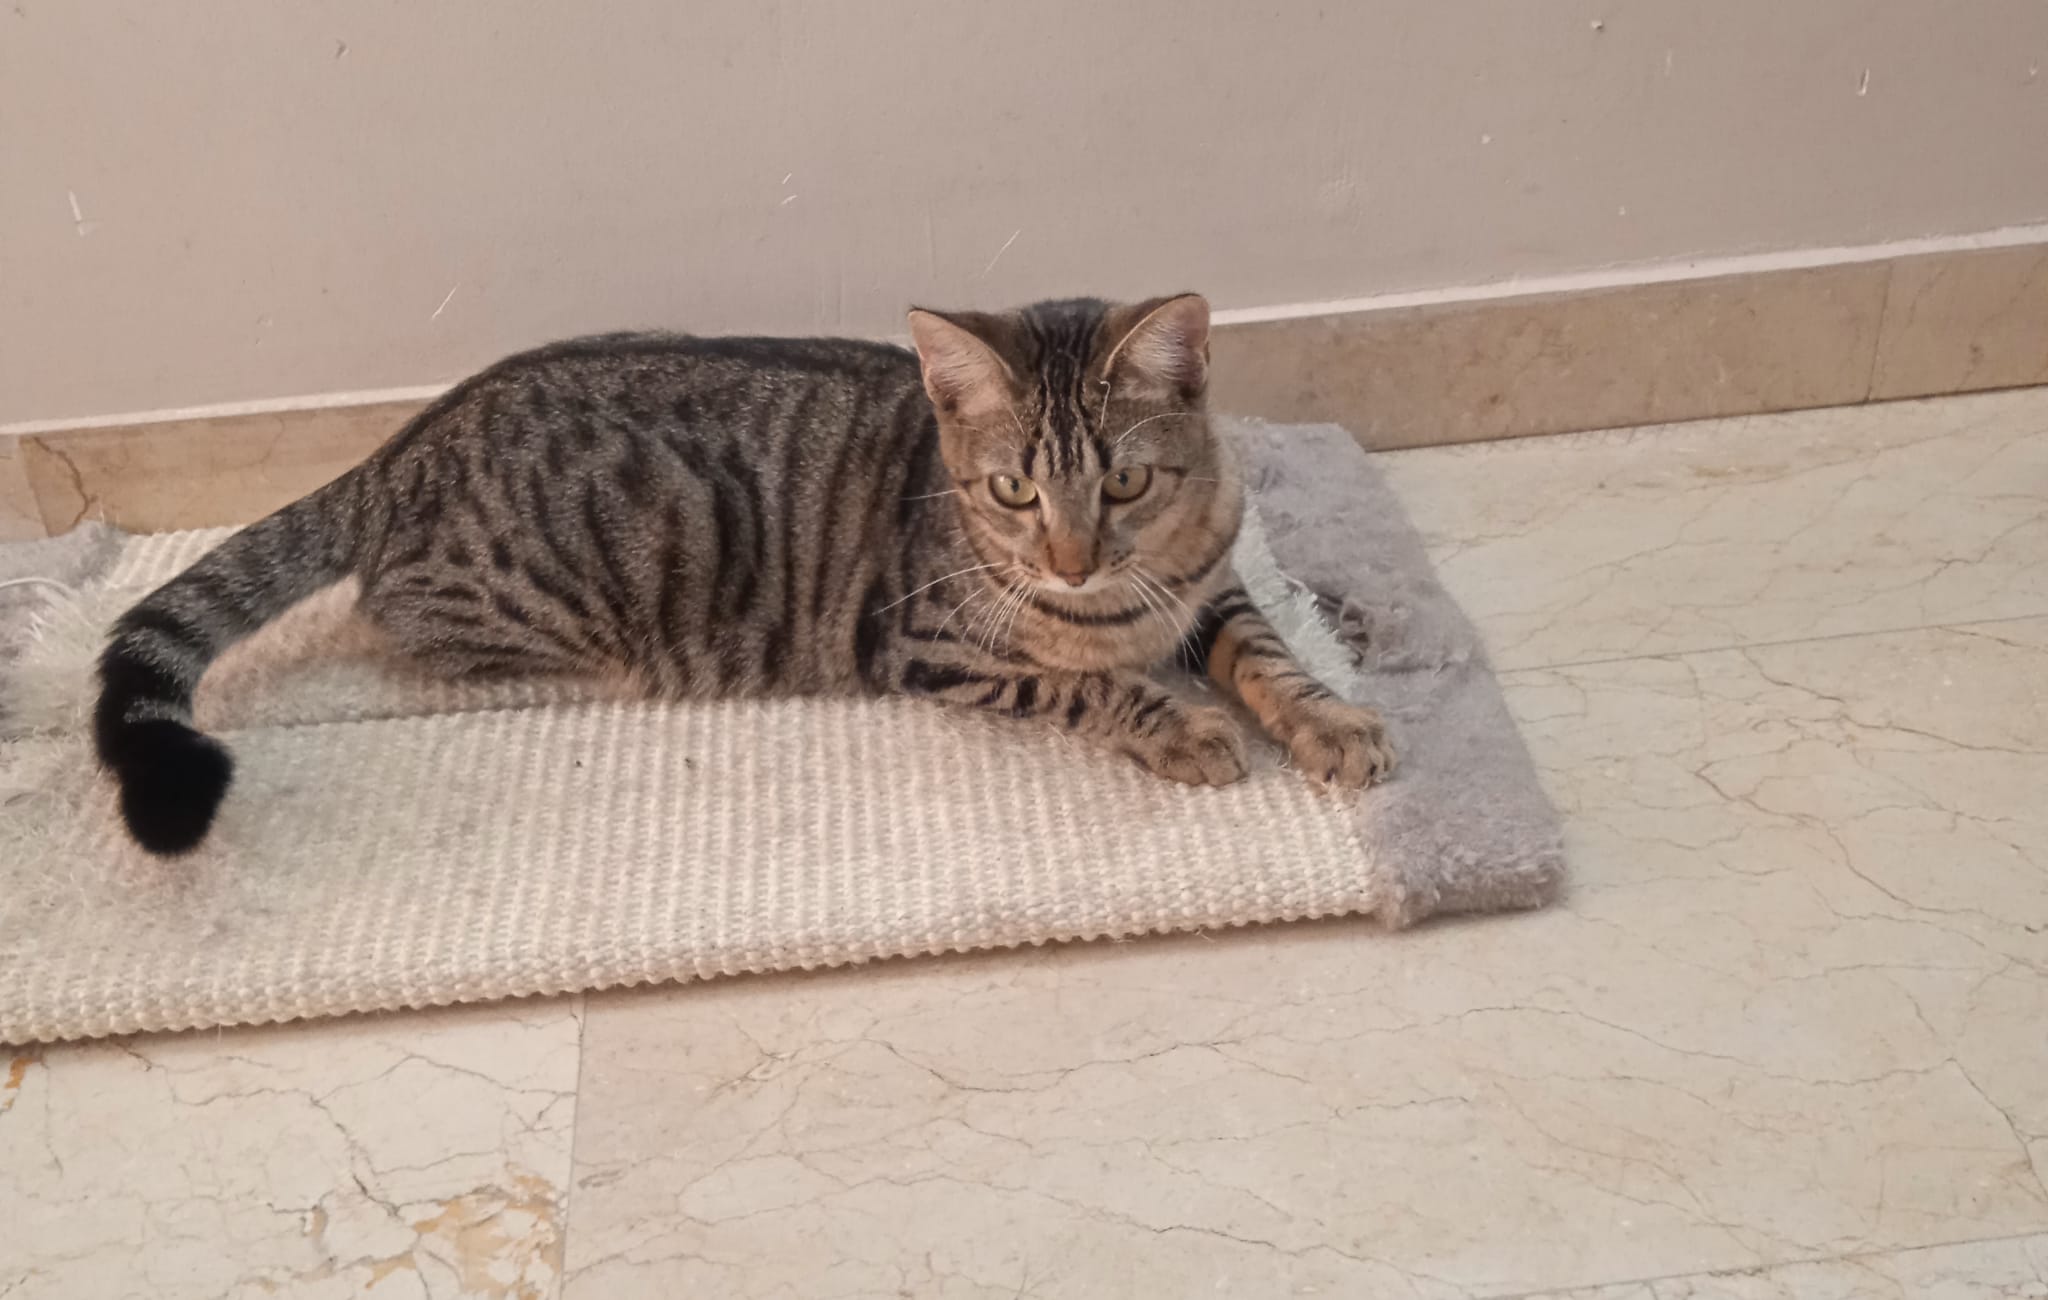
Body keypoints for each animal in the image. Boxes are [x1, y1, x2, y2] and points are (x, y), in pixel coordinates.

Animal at [94, 294, 1394, 856]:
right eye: (1011, 492)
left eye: (1122, 481)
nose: (1070, 560)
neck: (1118, 597)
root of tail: (400, 447)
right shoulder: (928, 647)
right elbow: (1087, 683)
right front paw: (1177, 724)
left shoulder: (1208, 587)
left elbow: (1265, 651)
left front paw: (1327, 721)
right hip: (524, 605)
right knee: (397, 623)